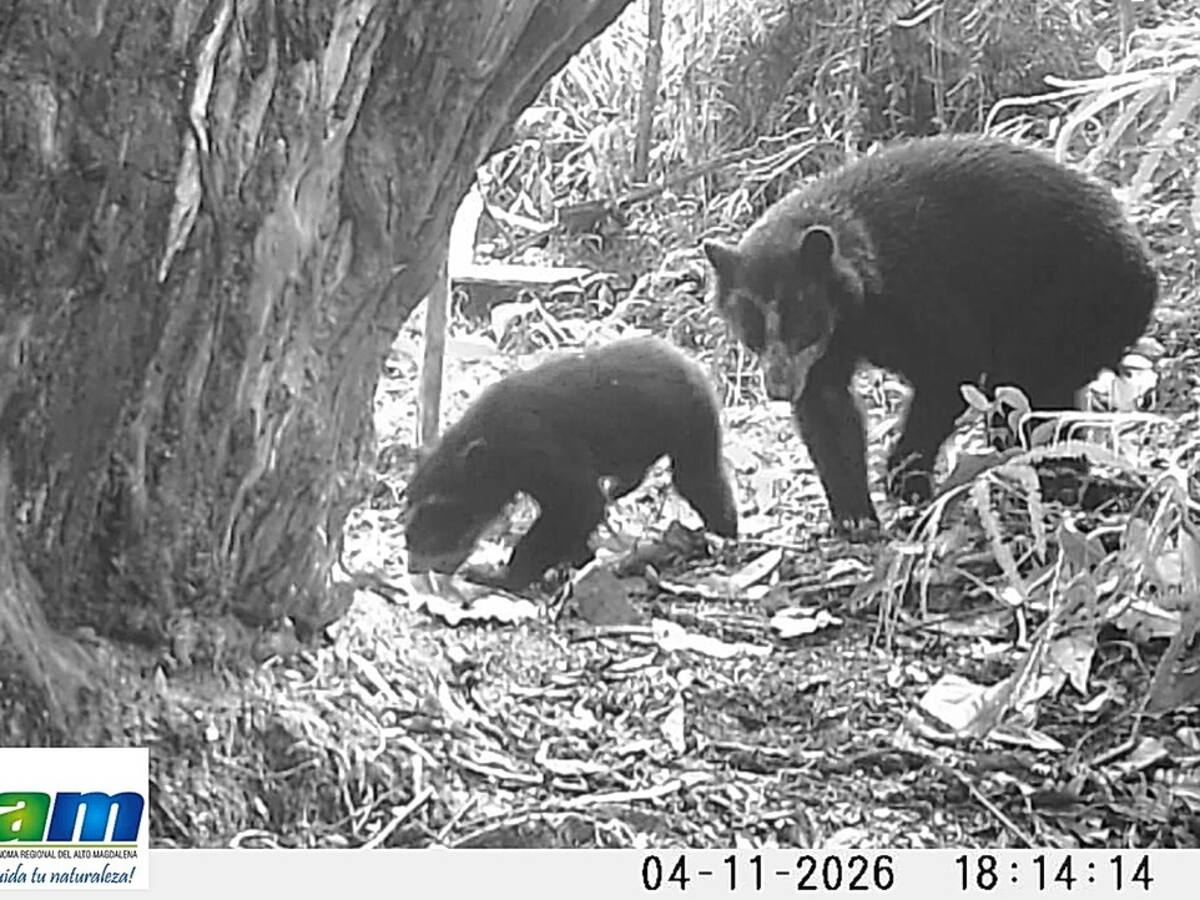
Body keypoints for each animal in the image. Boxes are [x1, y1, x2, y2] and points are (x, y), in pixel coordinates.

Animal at [404, 336, 739, 589]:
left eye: (441, 511)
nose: (414, 566)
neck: (495, 444)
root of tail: (696, 367)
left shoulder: (542, 449)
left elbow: (579, 505)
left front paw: (500, 575)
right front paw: (580, 560)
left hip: (692, 422)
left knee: (699, 479)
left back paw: (725, 536)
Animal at [703, 134, 1158, 535]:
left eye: (800, 322)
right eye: (750, 331)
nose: (779, 388)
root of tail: (1145, 262)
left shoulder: (916, 290)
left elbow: (950, 368)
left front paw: (904, 477)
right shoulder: (827, 351)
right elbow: (828, 410)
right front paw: (854, 515)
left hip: (1074, 295)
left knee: (1025, 392)